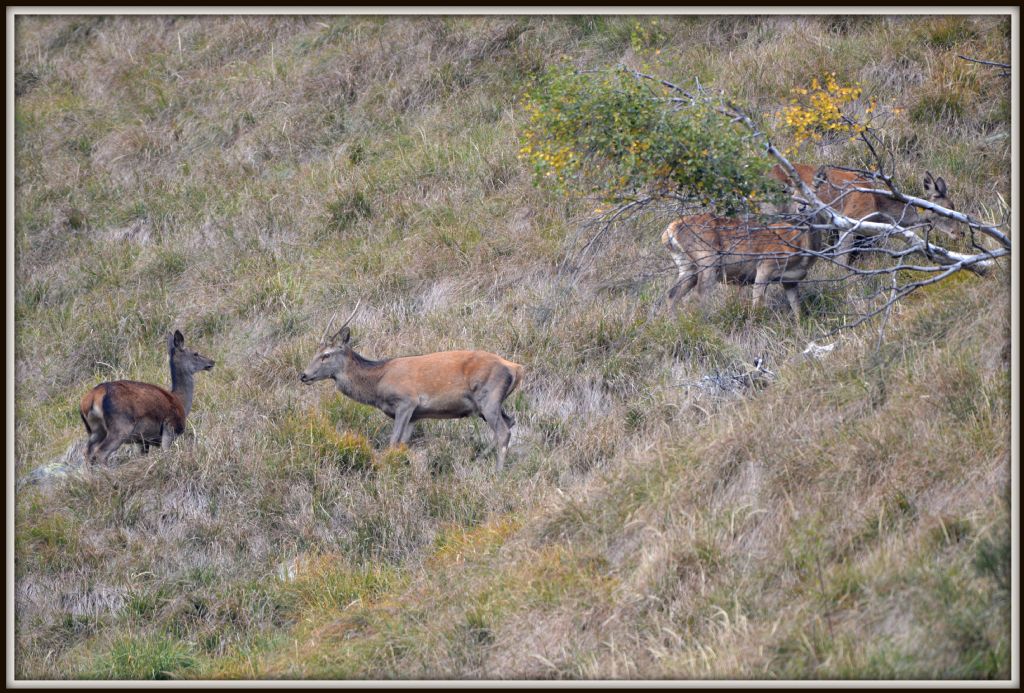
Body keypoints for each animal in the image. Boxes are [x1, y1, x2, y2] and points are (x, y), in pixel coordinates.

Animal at [79, 329, 216, 464]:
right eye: (195, 353)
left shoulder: (142, 440)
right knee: (100, 454)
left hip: (95, 429)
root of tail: (92, 398)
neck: (181, 401)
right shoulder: (171, 427)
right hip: (120, 426)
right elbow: (166, 453)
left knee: (87, 452)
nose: (212, 361)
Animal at [299, 307, 524, 472]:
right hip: (489, 403)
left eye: (326, 355)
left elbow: (392, 442)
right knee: (510, 421)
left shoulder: (406, 401)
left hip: (489, 397)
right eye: (315, 352)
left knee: (503, 432)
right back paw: (479, 460)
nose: (303, 374)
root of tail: (515, 368)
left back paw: (497, 473)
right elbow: (401, 445)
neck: (377, 383)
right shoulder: (416, 415)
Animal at [663, 213, 823, 319]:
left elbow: (797, 308)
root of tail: (669, 232)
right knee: (699, 295)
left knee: (672, 294)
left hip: (687, 267)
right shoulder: (766, 265)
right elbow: (757, 301)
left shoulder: (790, 281)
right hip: (708, 260)